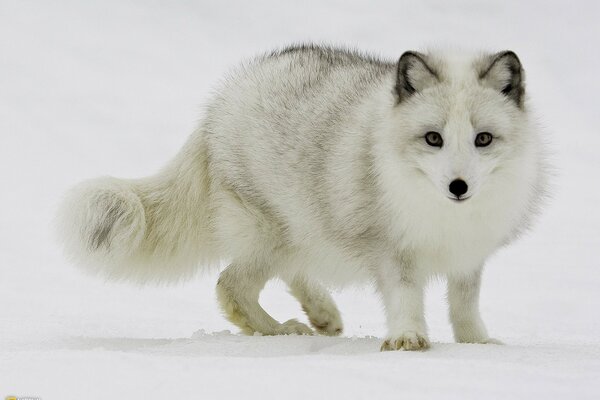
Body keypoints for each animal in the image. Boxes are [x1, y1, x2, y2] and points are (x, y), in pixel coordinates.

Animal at [58, 43, 548, 350]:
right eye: (433, 138)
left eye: (483, 139)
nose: (458, 187)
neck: (443, 214)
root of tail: (221, 102)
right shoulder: (392, 250)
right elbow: (407, 297)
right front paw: (408, 339)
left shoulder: (469, 255)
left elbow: (465, 305)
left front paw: (477, 344)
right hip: (272, 234)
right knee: (230, 287)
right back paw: (282, 332)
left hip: (301, 231)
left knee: (287, 273)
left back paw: (322, 314)